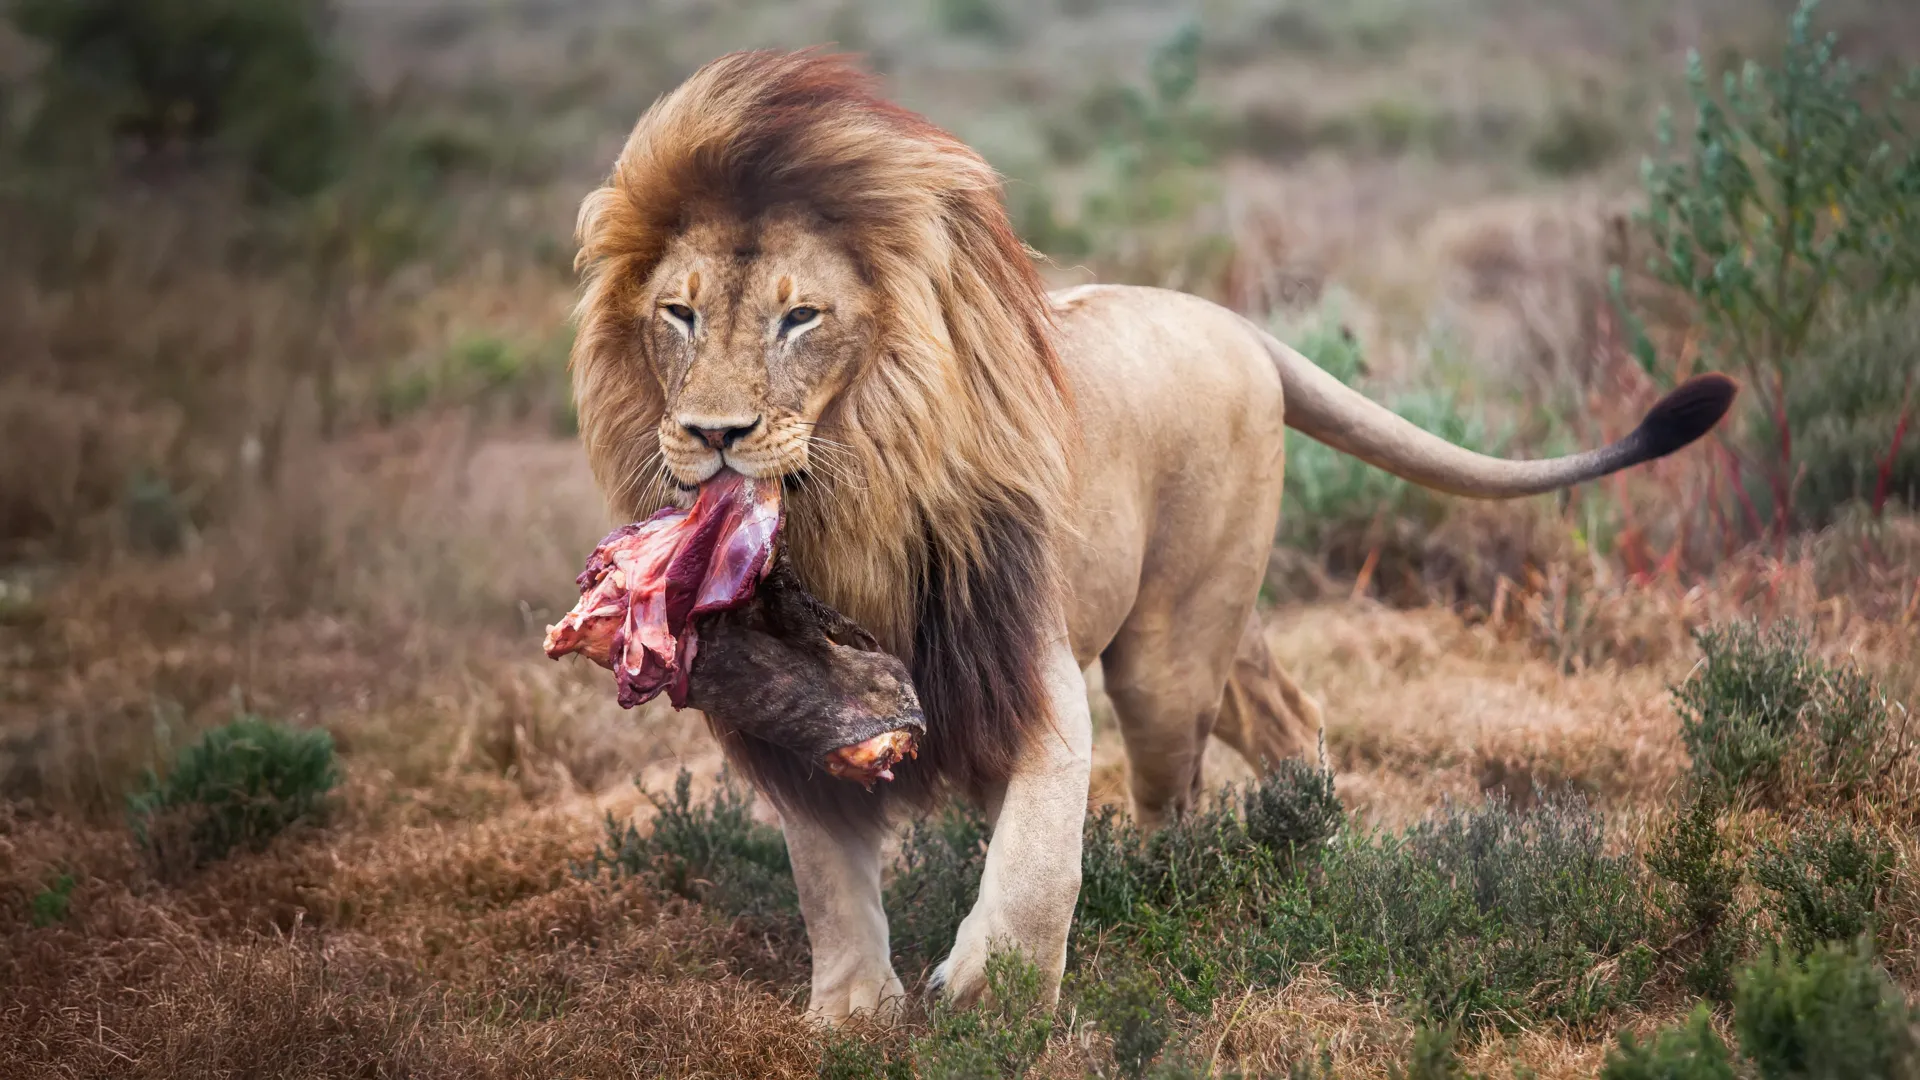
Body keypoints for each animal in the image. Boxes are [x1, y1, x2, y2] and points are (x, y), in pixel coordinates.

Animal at [568, 49, 1736, 1022]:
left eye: (799, 317)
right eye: (678, 314)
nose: (713, 434)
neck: (847, 507)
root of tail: (1236, 323)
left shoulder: (1026, 663)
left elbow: (1041, 851)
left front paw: (994, 992)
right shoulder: (791, 719)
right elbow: (826, 877)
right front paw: (851, 1011)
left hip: (1167, 650)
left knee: (1175, 789)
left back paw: (1173, 881)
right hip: (1217, 614)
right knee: (1287, 713)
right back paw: (1314, 839)